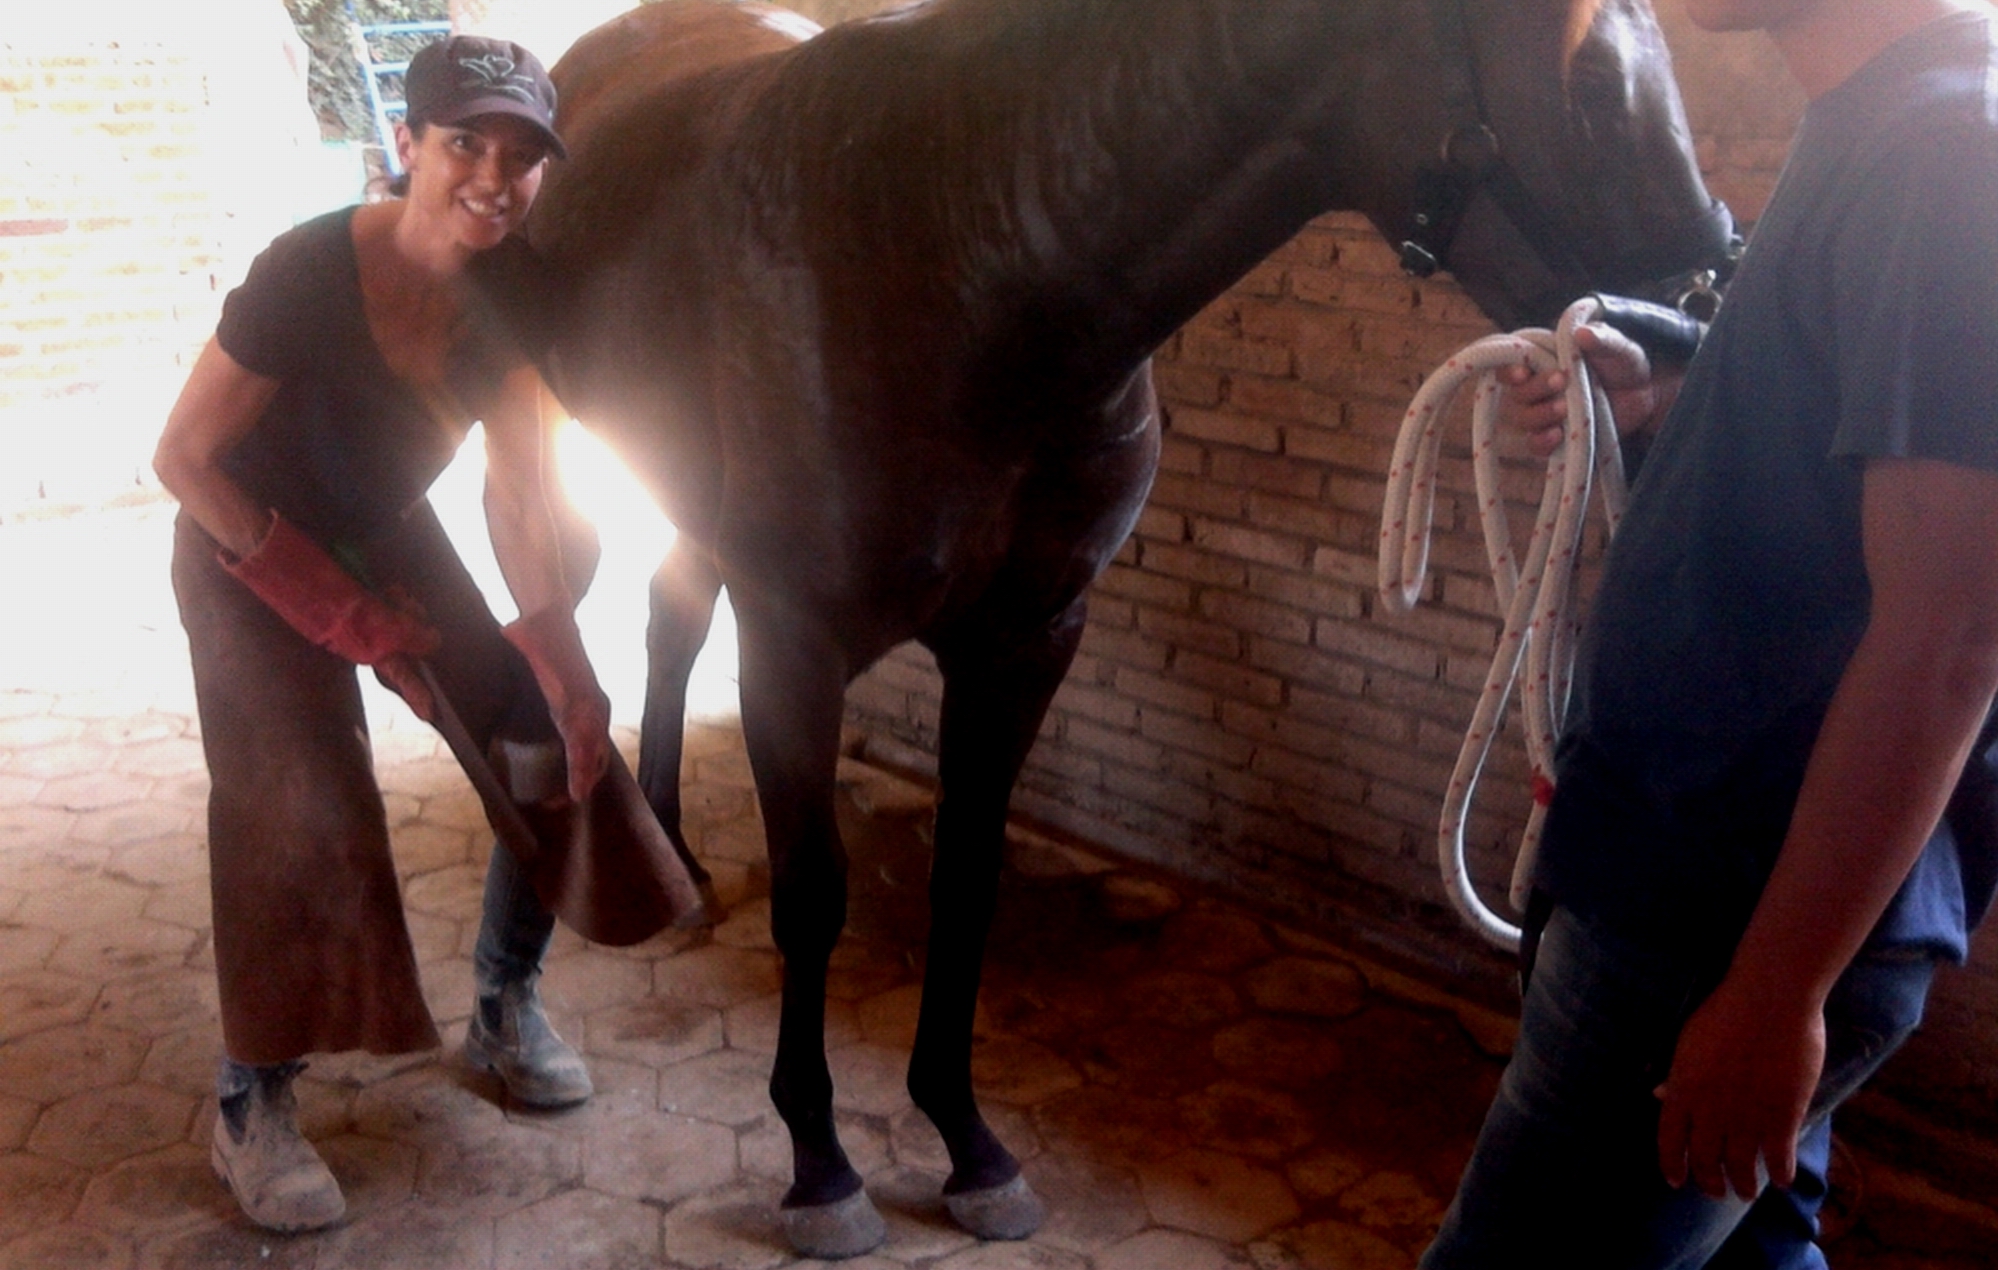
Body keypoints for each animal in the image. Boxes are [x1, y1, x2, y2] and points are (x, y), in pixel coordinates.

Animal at [495, 0, 1734, 1254]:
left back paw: (673, 845)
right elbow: (814, 895)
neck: (955, 262)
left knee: (669, 620)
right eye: (1588, 79)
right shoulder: (796, 643)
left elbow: (968, 880)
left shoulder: (1031, 636)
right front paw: (820, 1164)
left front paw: (968, 1139)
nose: (1694, 331)